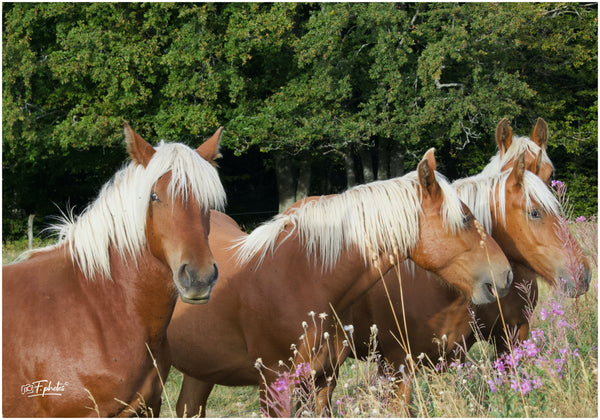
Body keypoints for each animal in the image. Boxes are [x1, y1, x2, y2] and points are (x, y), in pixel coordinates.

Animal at [166, 148, 512, 416]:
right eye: (465, 218)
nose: (505, 274)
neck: (302, 278)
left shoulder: (322, 381)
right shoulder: (275, 388)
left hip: (200, 369)